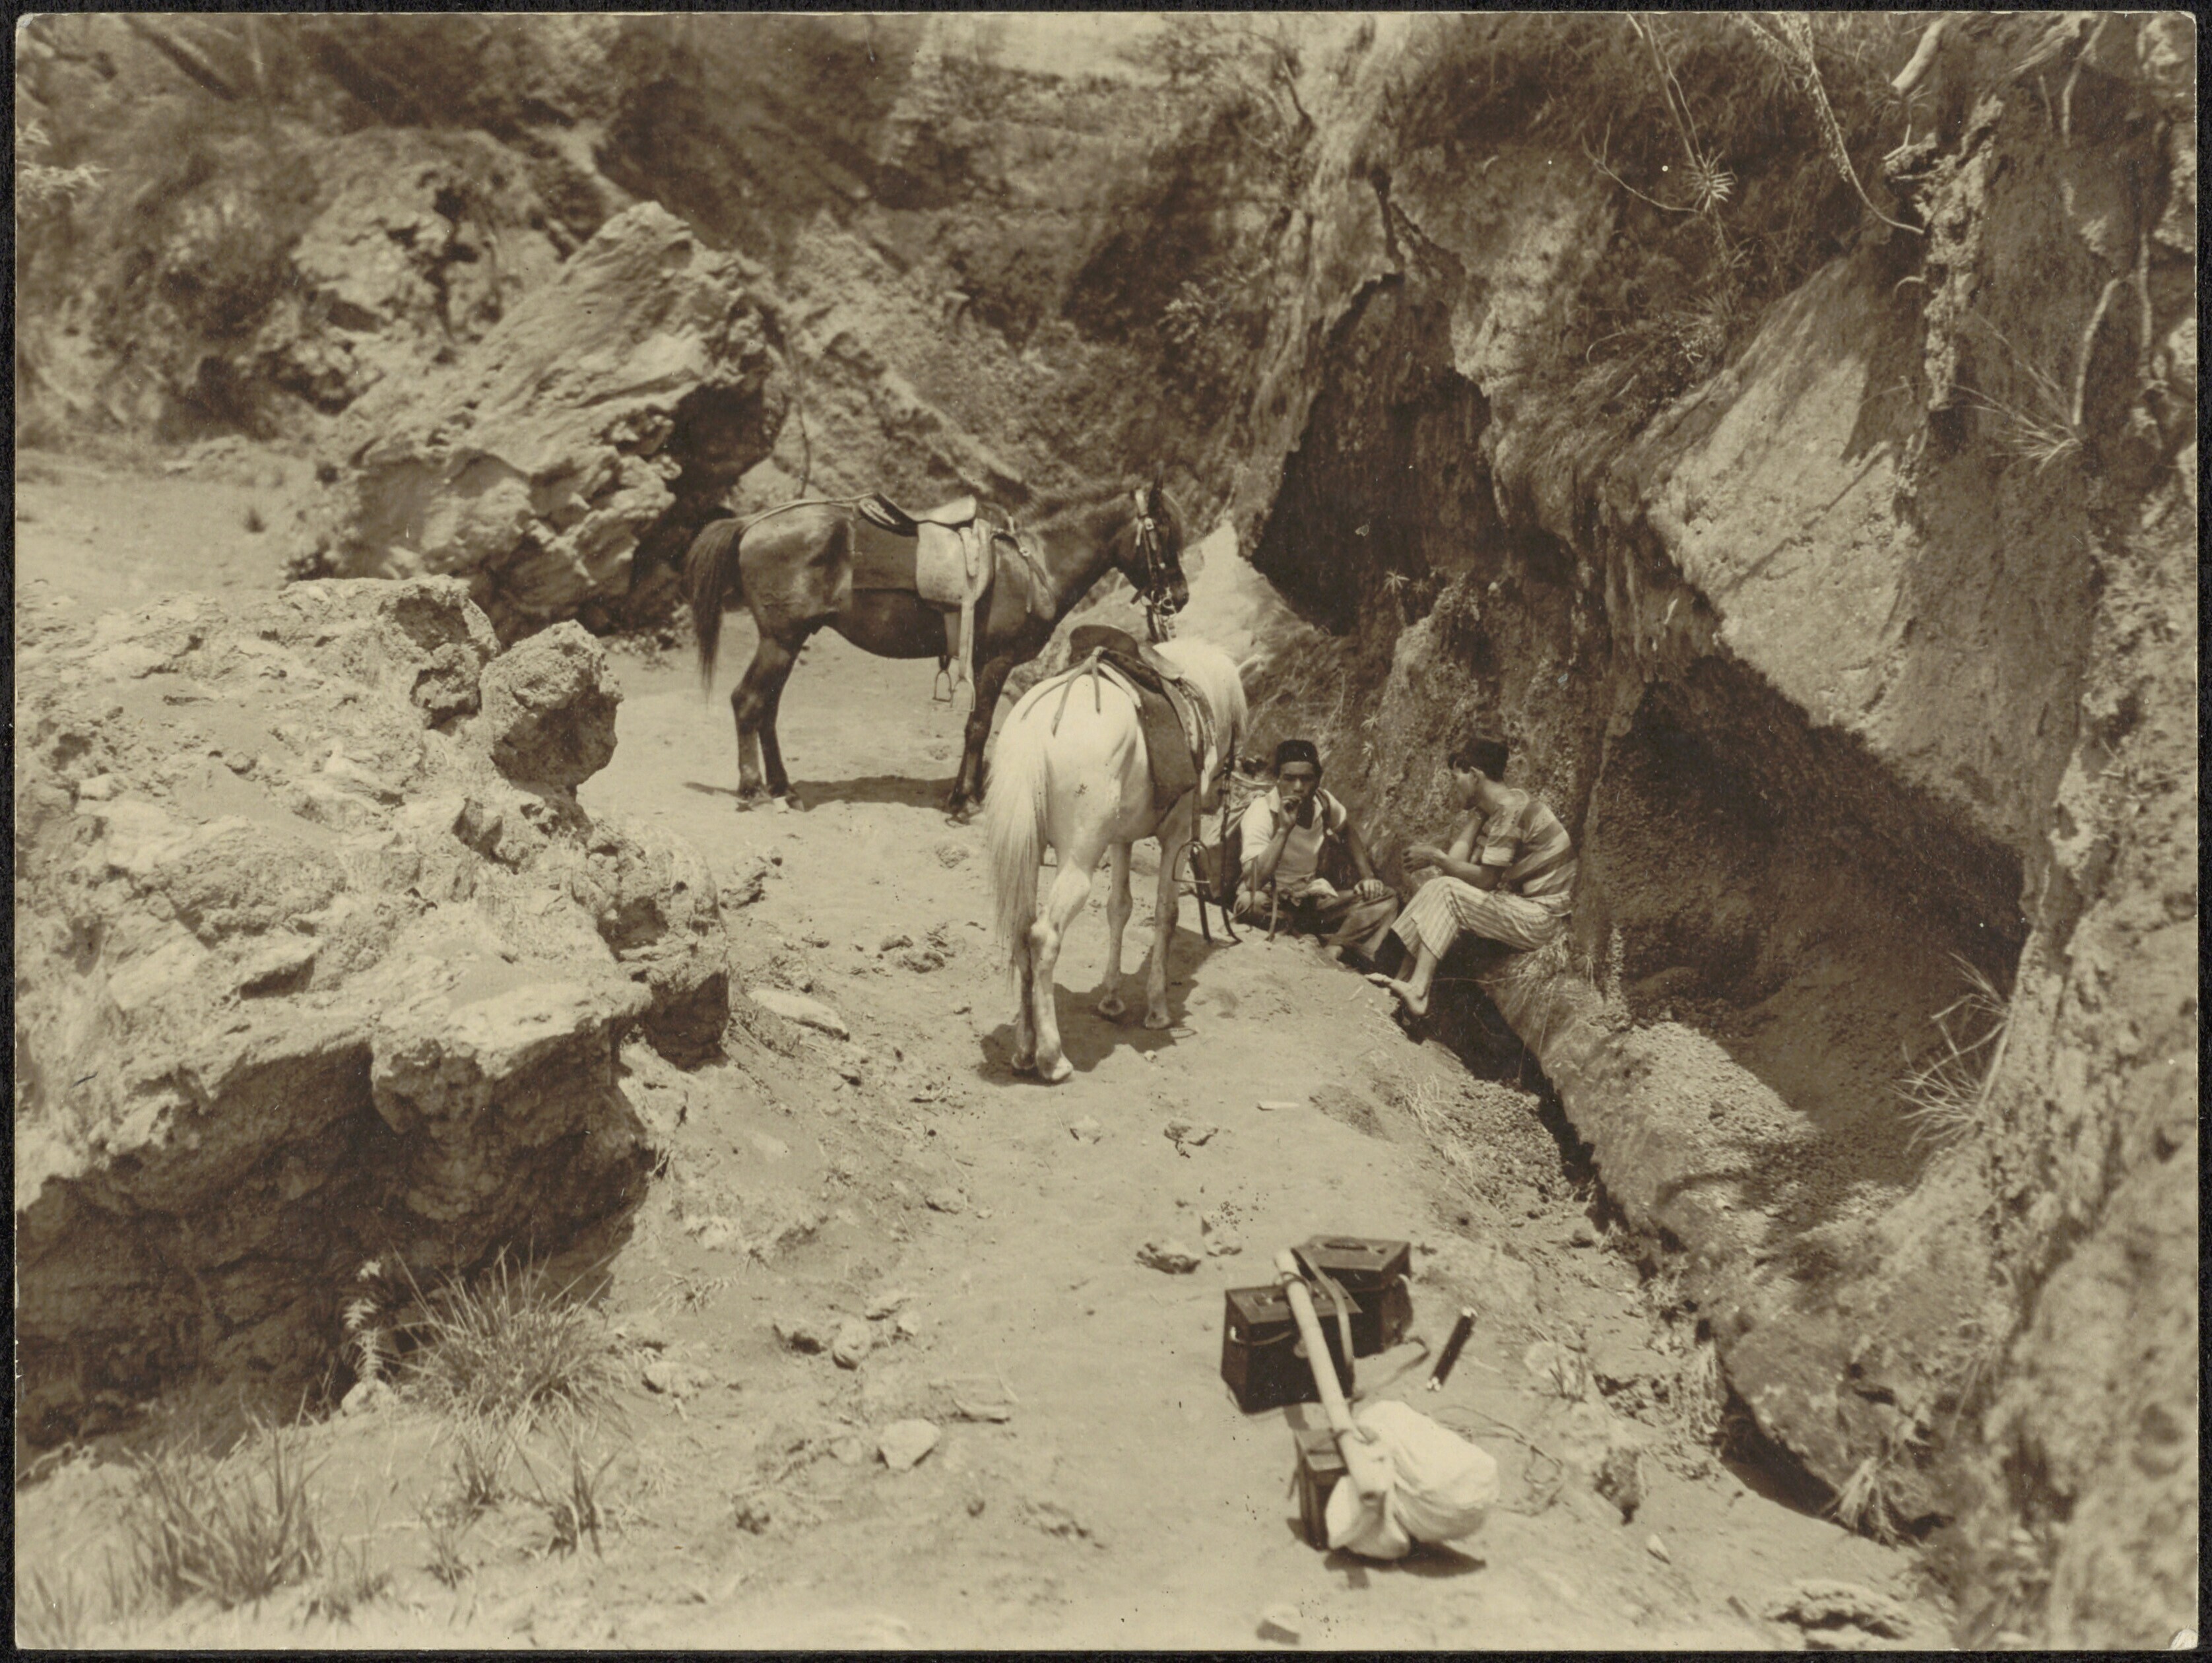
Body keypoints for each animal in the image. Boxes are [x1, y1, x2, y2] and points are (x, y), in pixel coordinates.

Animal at [681, 478, 1192, 816]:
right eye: (1164, 532)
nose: (1180, 597)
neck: (1033, 565)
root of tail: (752, 523)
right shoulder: (996, 662)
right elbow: (979, 727)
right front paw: (964, 801)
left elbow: (977, 727)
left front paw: (970, 793)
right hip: (780, 640)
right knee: (747, 702)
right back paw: (753, 790)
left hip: (788, 640)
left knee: (766, 710)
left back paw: (784, 789)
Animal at [983, 635, 1247, 1083]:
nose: (1221, 795)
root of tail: (1037, 730)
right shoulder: (1177, 837)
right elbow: (1166, 914)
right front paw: (1157, 1010)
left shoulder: (1122, 840)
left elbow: (1119, 908)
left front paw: (1111, 999)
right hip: (1078, 861)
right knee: (1044, 937)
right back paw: (1052, 1058)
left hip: (1030, 855)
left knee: (1021, 932)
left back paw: (1025, 1050)